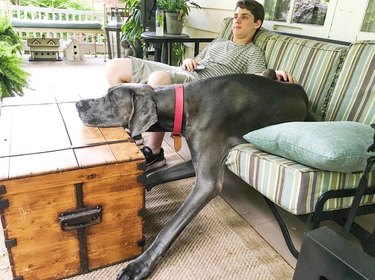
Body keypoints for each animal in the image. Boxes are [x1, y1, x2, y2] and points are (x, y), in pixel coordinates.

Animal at [75, 72, 312, 280]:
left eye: (111, 99)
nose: (78, 104)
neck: (185, 105)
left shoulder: (207, 183)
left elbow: (170, 227)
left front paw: (139, 265)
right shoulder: (192, 164)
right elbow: (155, 176)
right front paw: (143, 188)